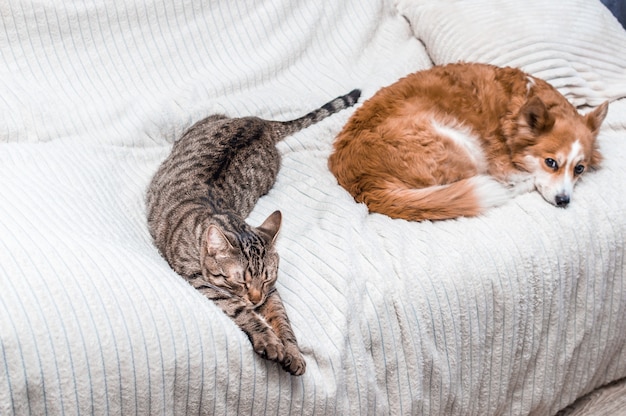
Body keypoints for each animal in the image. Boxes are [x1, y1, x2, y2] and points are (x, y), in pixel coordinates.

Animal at [146, 89, 358, 376]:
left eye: (266, 279)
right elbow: (241, 310)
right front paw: (269, 340)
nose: (256, 299)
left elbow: (282, 319)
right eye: (241, 281)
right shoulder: (198, 279)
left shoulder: (272, 293)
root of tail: (259, 122)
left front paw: (293, 351)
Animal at [330, 62, 608, 221]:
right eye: (551, 163)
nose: (564, 202)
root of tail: (364, 185)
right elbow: (519, 176)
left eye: (579, 169)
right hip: (460, 143)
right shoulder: (501, 163)